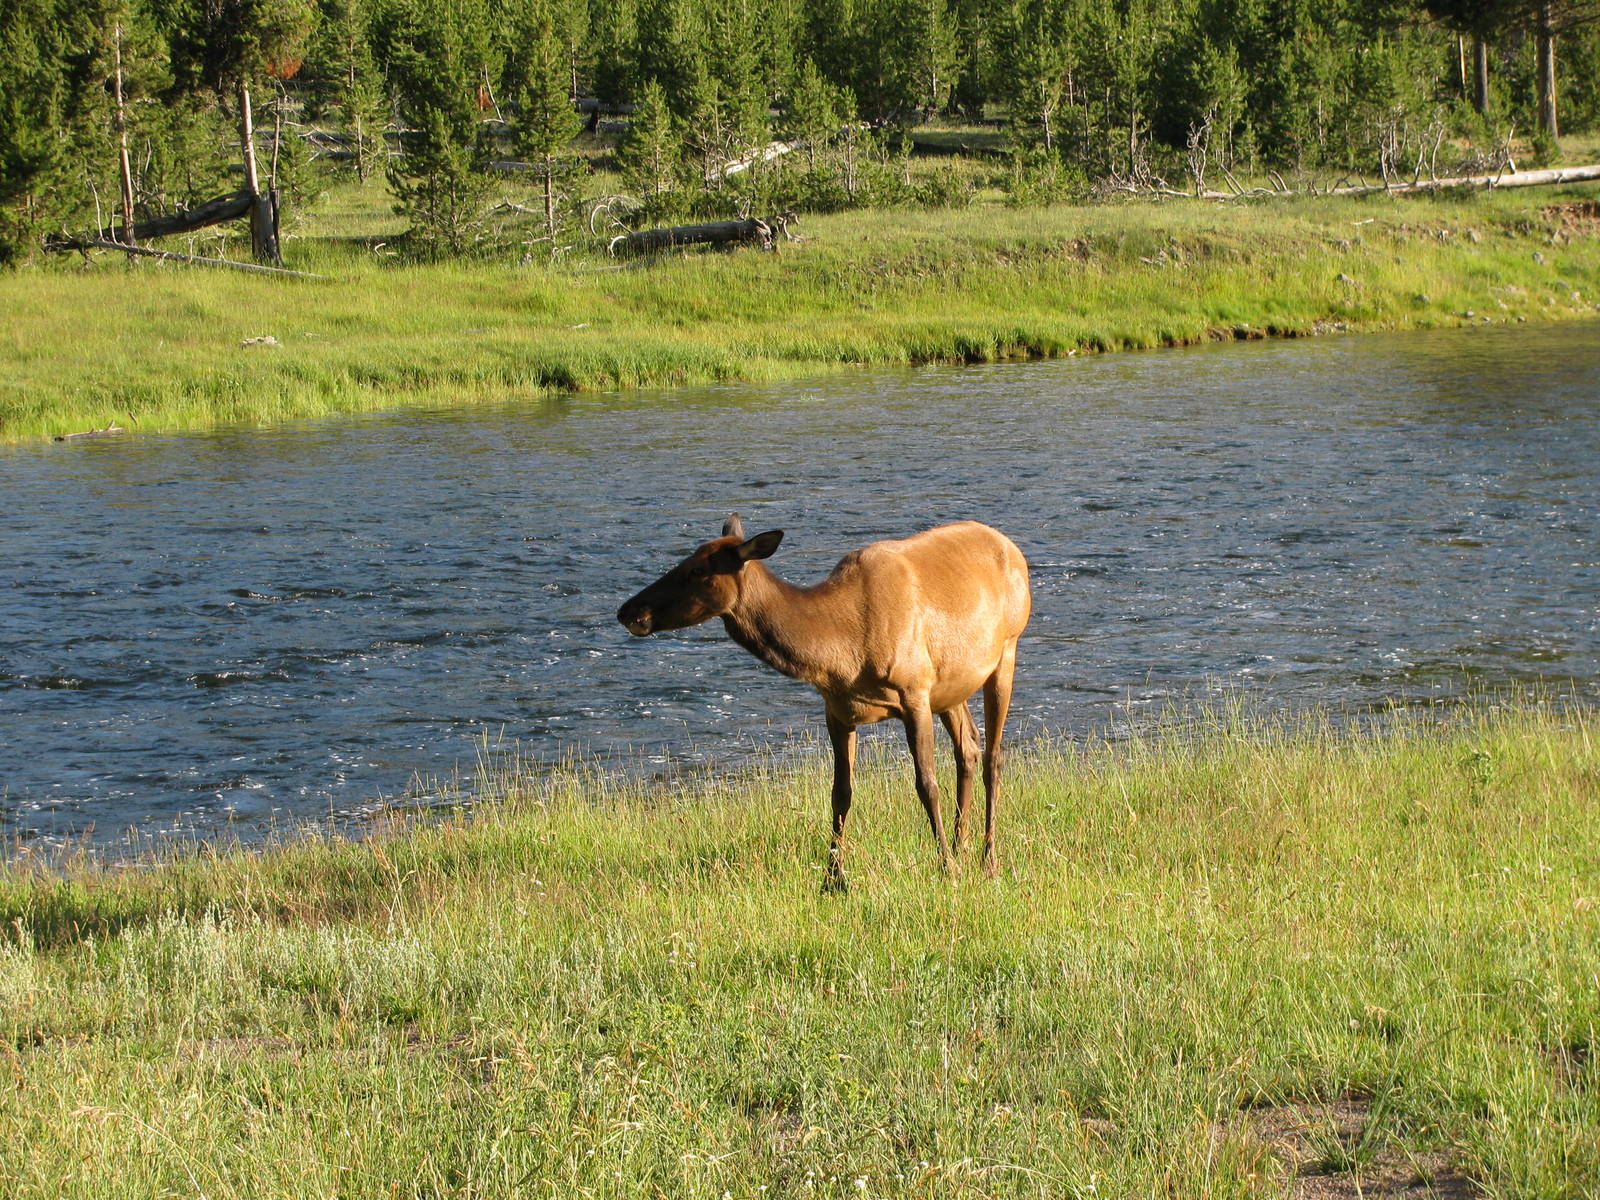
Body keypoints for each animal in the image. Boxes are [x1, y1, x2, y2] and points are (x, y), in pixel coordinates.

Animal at [617, 514, 1031, 891]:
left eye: (698, 569)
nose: (628, 611)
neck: (841, 651)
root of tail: (1012, 547)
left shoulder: (914, 691)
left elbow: (926, 785)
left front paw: (947, 870)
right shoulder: (838, 710)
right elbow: (840, 793)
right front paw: (833, 880)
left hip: (1006, 651)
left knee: (993, 757)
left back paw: (987, 861)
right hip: (950, 687)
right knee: (969, 747)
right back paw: (963, 847)